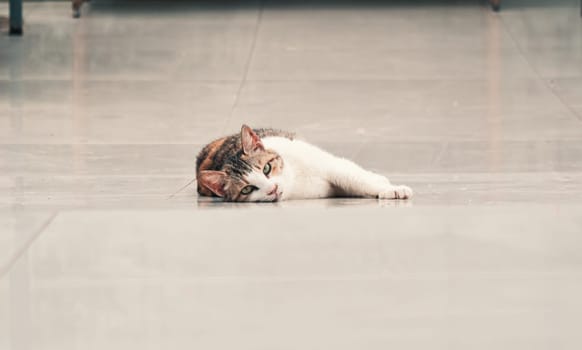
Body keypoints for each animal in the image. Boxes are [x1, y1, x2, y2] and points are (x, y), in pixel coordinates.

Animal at [198, 125, 412, 202]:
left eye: (267, 168)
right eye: (247, 189)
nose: (272, 188)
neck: (295, 180)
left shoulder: (329, 165)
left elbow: (355, 178)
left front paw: (391, 189)